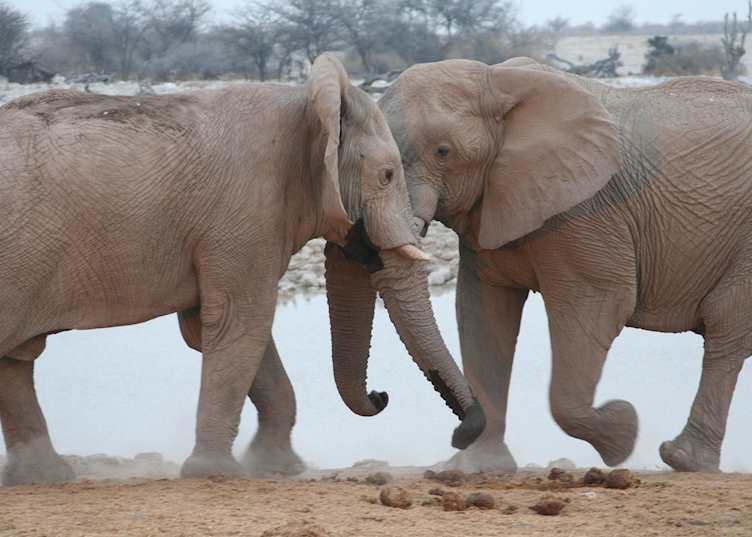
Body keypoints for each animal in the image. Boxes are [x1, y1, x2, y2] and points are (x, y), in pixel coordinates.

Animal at [0, 53, 485, 486]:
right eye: (387, 175)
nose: (380, 395)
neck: (308, 103)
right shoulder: (245, 214)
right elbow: (241, 322)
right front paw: (214, 473)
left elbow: (229, 328)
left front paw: (275, 467)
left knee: (15, 361)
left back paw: (43, 478)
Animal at [376, 56, 752, 473]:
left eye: (443, 152)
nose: (460, 430)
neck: (495, 80)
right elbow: (483, 311)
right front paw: (472, 468)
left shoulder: (586, 210)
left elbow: (598, 303)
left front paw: (622, 431)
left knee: (725, 328)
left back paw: (683, 459)